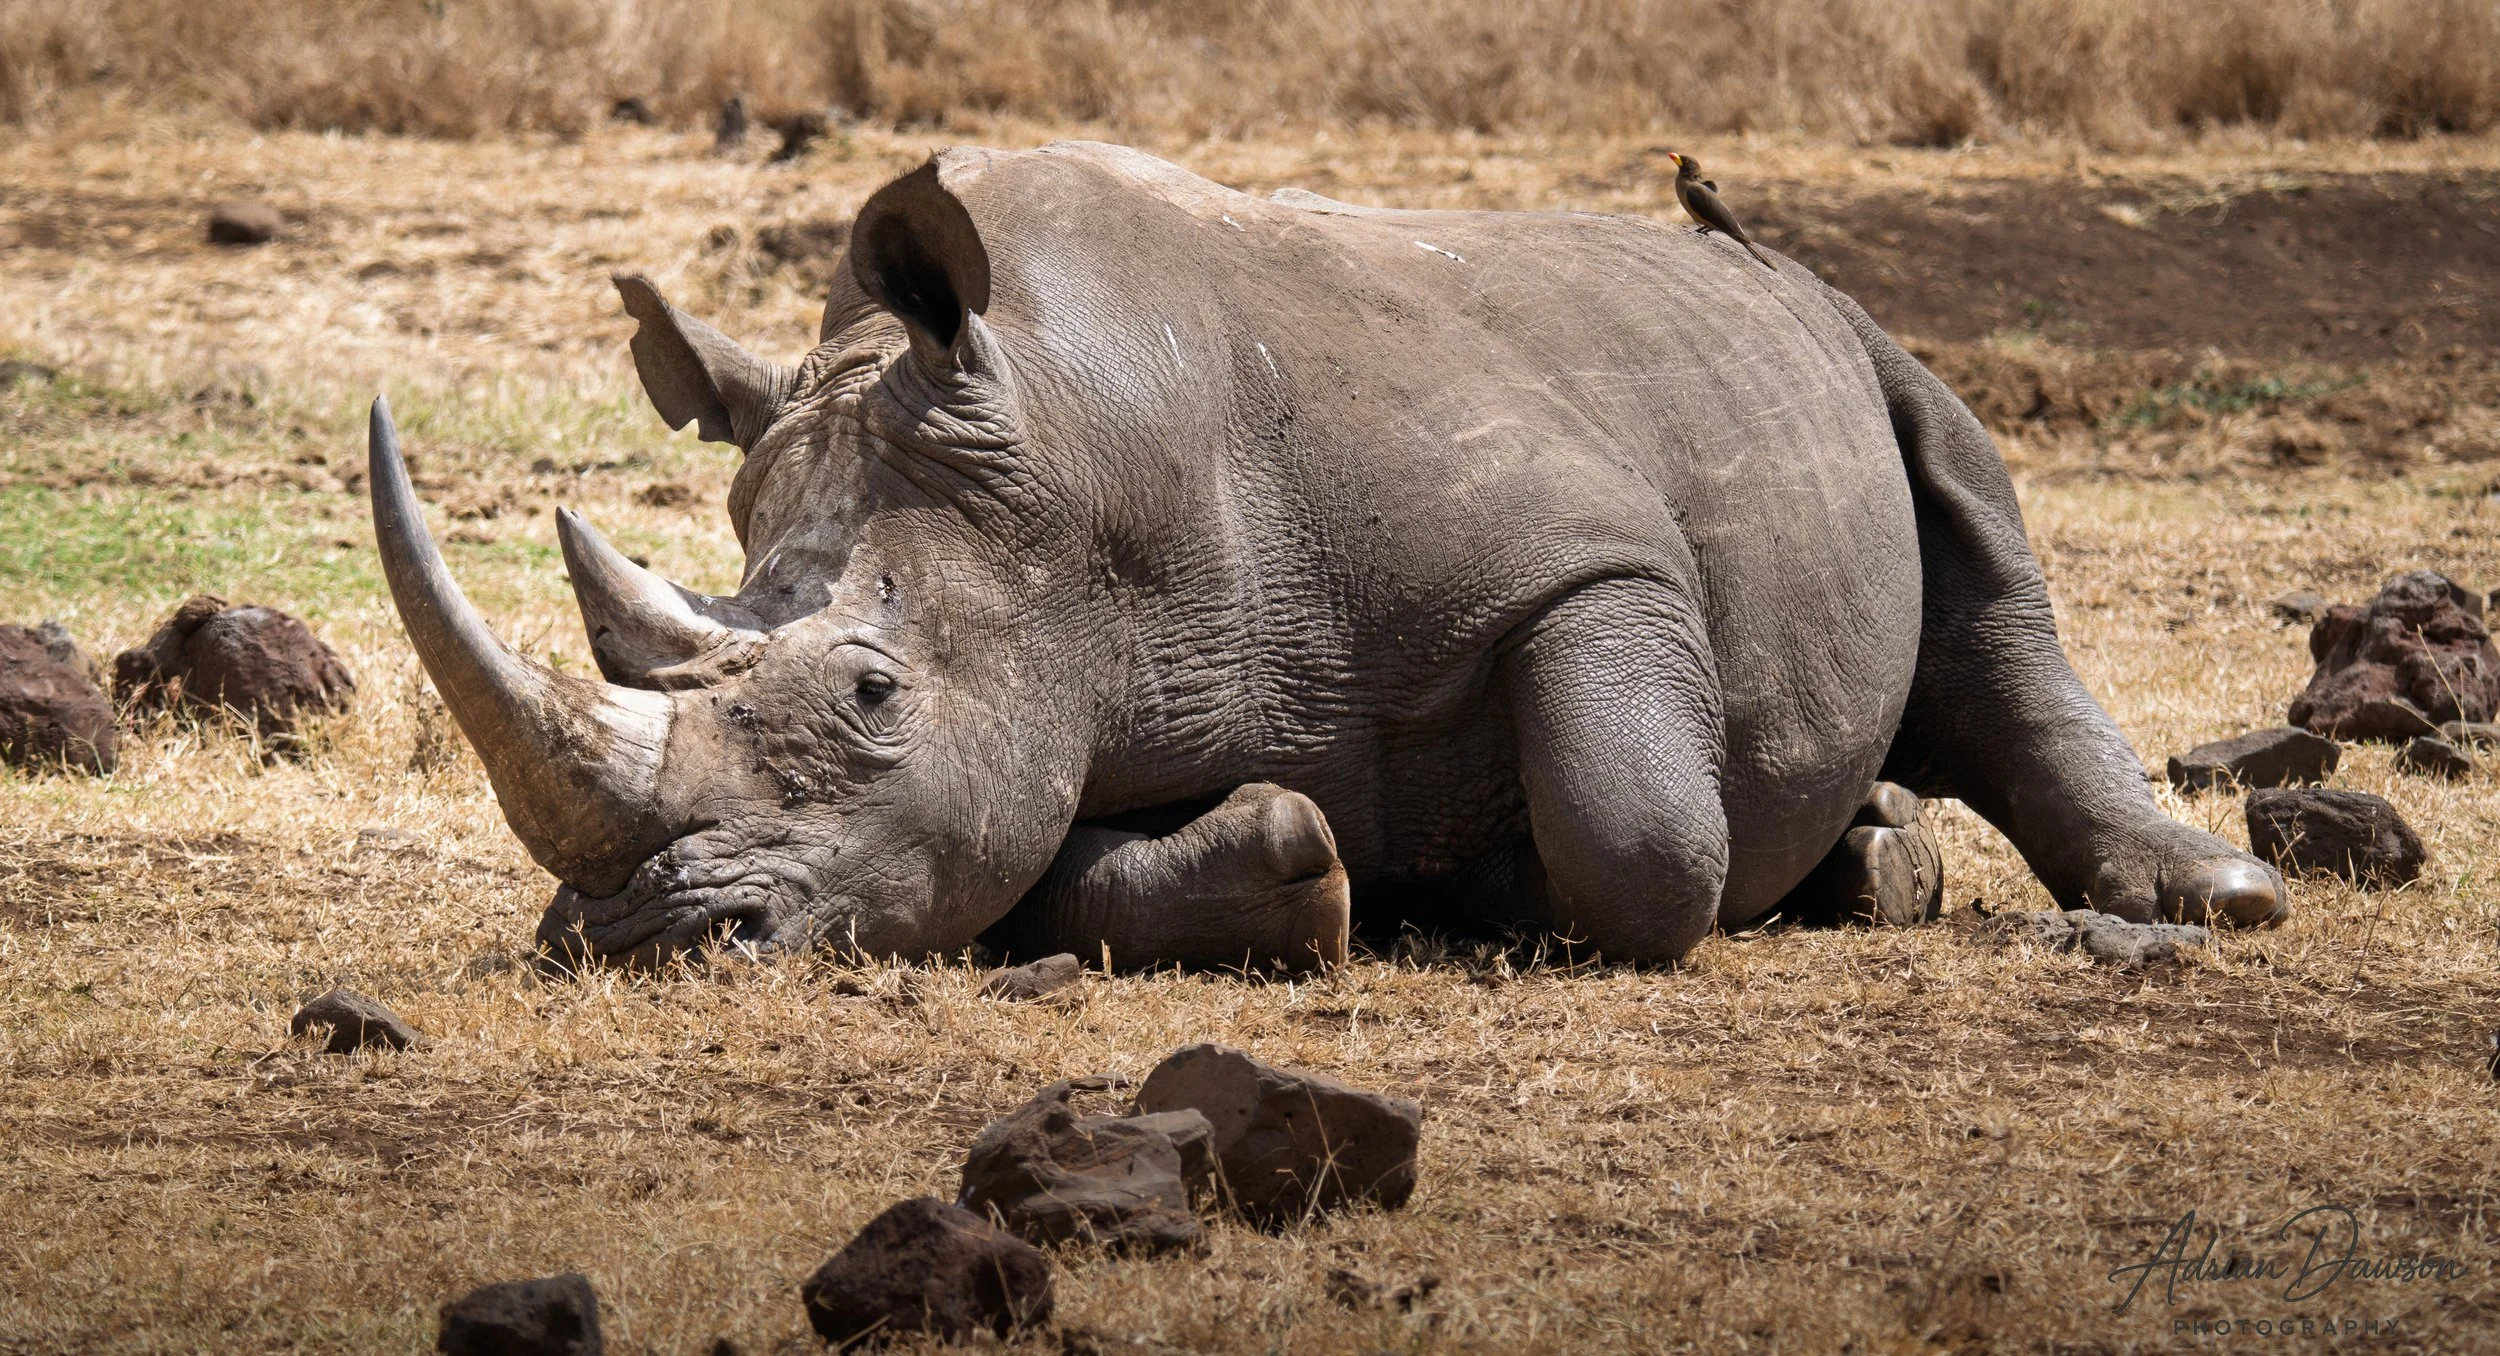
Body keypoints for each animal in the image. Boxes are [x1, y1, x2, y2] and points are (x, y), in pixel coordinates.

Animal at [368, 141, 2287, 972]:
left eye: (869, 695)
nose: (632, 936)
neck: (1076, 456)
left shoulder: (1582, 555)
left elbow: (1640, 835)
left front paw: (1509, 891)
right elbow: (1076, 855)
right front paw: (1316, 872)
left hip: (1841, 325)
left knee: (1979, 533)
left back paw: (2208, 896)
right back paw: (1874, 859)